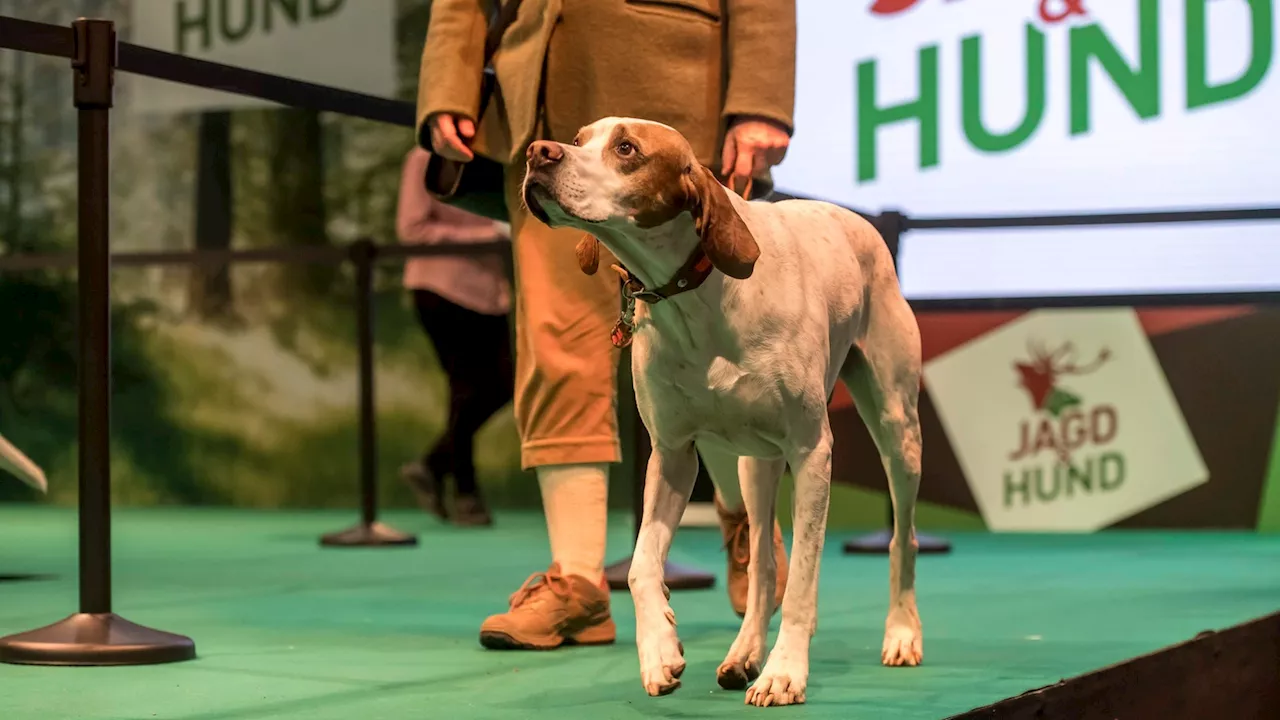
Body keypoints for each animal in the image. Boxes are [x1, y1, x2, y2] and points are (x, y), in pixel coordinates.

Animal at [524, 114, 926, 702]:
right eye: (578, 140)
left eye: (627, 148)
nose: (537, 152)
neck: (699, 295)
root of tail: (860, 222)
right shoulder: (671, 455)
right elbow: (641, 565)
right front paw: (659, 651)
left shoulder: (812, 452)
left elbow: (804, 580)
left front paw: (786, 671)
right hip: (754, 466)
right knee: (762, 563)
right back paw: (743, 653)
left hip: (898, 431)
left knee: (902, 537)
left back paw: (900, 632)